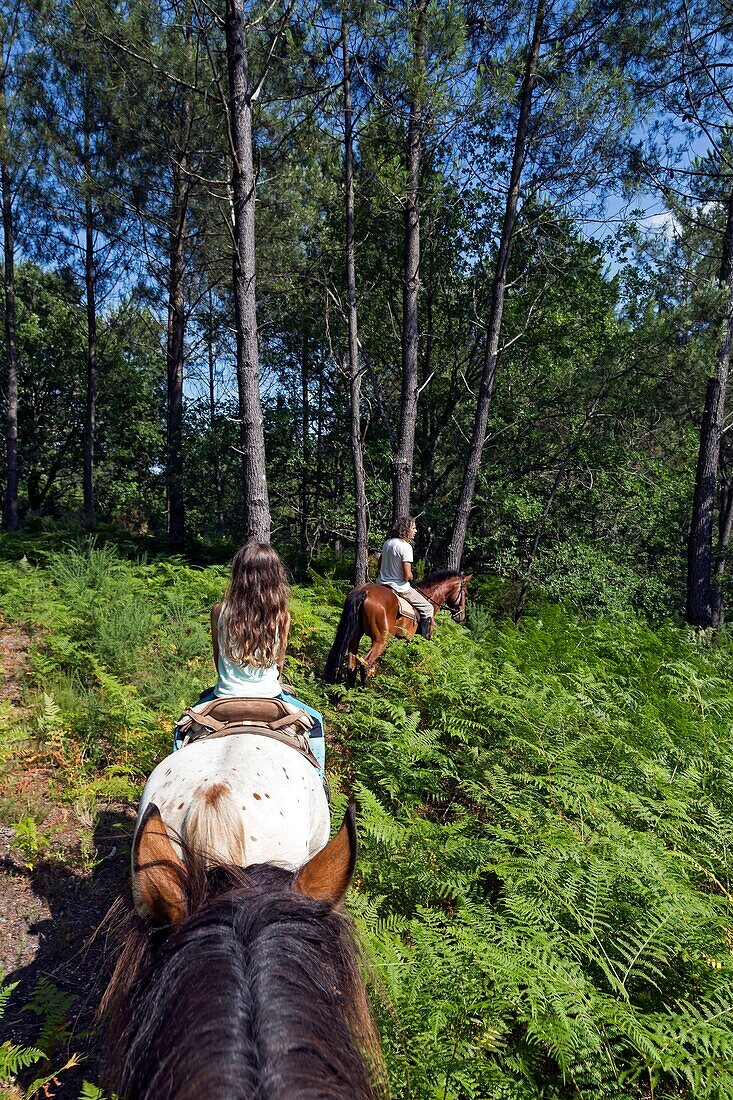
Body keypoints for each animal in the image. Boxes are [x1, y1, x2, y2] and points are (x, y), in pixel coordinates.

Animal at [321, 572, 471, 682]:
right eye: (466, 593)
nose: (461, 616)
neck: (430, 598)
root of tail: (364, 591)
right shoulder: (416, 640)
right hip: (382, 640)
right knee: (365, 663)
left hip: (356, 636)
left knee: (352, 664)